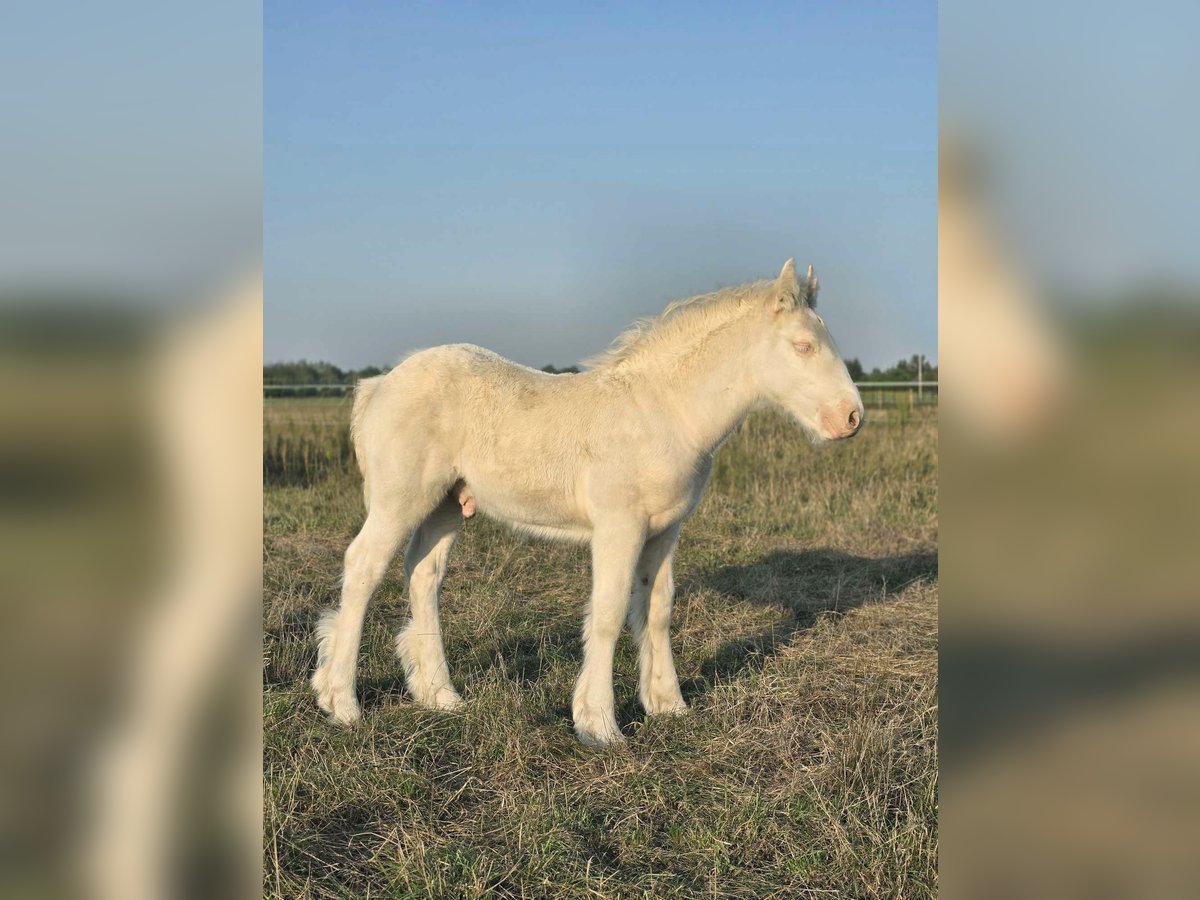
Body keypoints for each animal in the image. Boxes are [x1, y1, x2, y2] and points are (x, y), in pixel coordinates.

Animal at [314, 259, 864, 748]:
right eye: (803, 345)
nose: (851, 417)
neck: (663, 412)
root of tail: (379, 385)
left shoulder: (665, 530)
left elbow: (657, 607)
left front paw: (668, 705)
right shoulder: (619, 526)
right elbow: (609, 611)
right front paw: (599, 725)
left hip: (446, 504)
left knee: (423, 574)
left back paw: (440, 696)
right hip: (400, 500)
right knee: (363, 567)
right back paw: (341, 702)